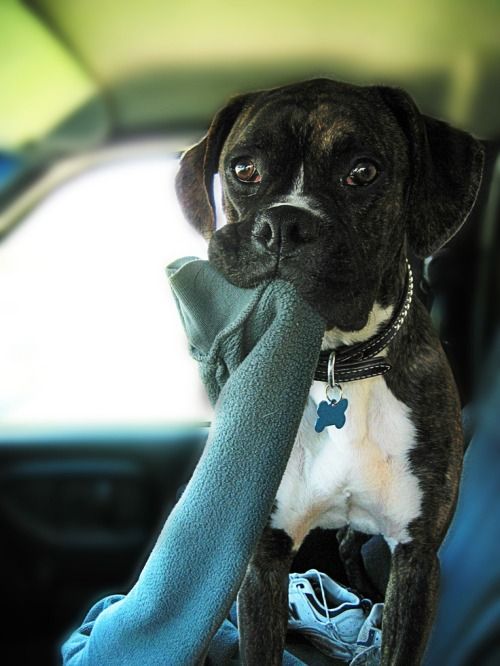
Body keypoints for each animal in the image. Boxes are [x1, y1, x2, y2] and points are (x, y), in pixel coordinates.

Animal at [175, 79, 484, 664]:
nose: (282, 225)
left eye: (363, 172)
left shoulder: (417, 562)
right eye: (244, 169)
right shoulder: (264, 562)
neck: (341, 364)